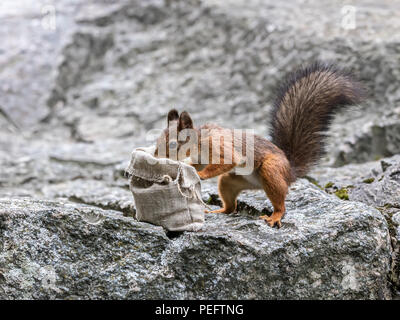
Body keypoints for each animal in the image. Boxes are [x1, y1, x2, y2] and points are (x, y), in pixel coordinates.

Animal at [154, 62, 366, 228]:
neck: (199, 142)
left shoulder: (219, 146)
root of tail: (290, 172)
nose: (156, 158)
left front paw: (201, 175)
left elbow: (228, 160)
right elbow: (198, 164)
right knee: (231, 207)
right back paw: (219, 211)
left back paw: (274, 217)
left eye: (172, 144)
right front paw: (186, 168)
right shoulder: (201, 158)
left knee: (280, 204)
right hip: (230, 182)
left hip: (271, 171)